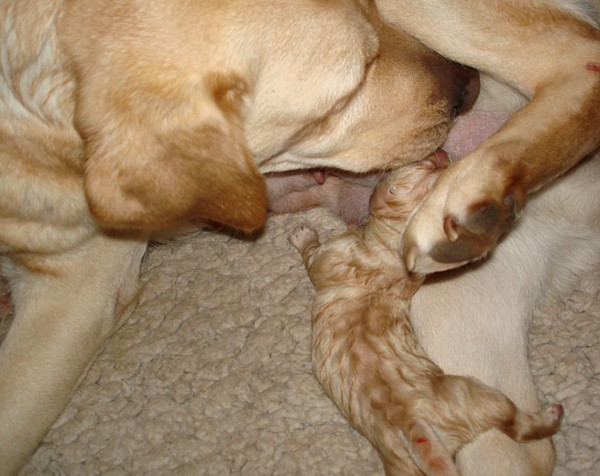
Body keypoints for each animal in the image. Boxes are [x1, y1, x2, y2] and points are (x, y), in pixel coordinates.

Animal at [288, 155, 564, 476]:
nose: (442, 153)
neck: (396, 251)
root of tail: (414, 426)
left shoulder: (329, 257)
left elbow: (312, 254)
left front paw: (303, 235)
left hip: (476, 392)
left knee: (516, 423)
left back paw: (552, 414)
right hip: (442, 432)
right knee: (514, 425)